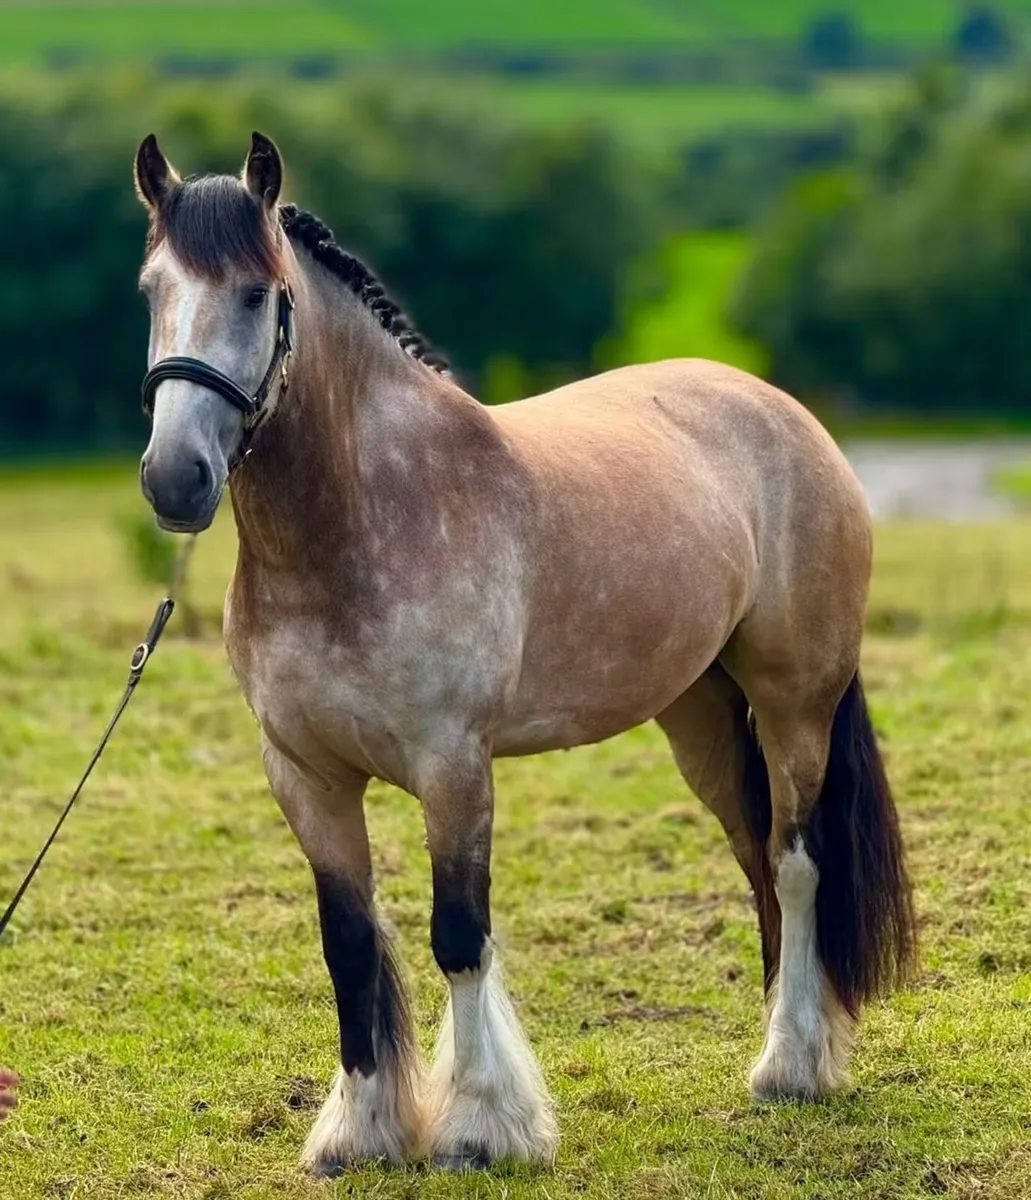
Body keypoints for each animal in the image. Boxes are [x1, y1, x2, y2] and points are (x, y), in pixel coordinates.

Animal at [134, 132, 915, 1173]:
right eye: (151, 289)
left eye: (259, 294)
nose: (175, 479)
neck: (363, 516)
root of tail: (784, 413)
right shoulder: (303, 774)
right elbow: (348, 942)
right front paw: (362, 1128)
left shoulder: (453, 767)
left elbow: (460, 937)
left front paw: (479, 1125)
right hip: (700, 718)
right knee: (758, 860)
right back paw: (799, 1041)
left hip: (794, 705)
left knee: (796, 864)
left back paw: (789, 1065)